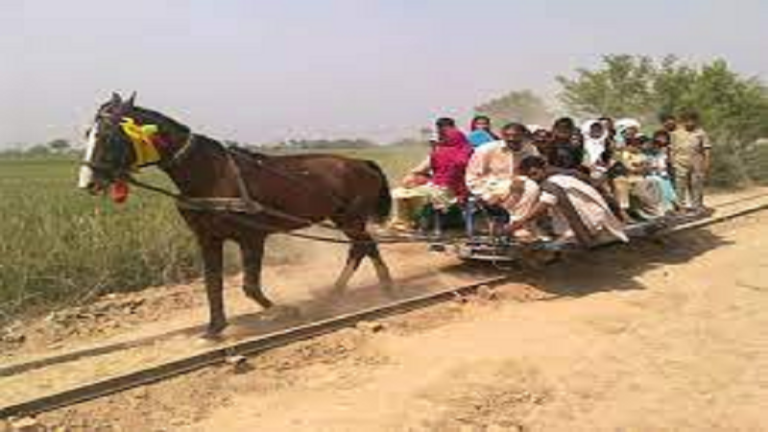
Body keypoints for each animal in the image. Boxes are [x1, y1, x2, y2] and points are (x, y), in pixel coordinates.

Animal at [79, 93, 396, 338]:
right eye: (87, 135)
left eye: (108, 136)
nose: (88, 182)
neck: (211, 175)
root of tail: (362, 163)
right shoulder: (208, 238)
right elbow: (212, 283)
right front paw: (214, 327)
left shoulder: (252, 236)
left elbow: (250, 286)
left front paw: (287, 310)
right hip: (345, 218)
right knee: (364, 247)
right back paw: (362, 289)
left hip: (351, 218)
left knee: (361, 247)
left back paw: (364, 290)